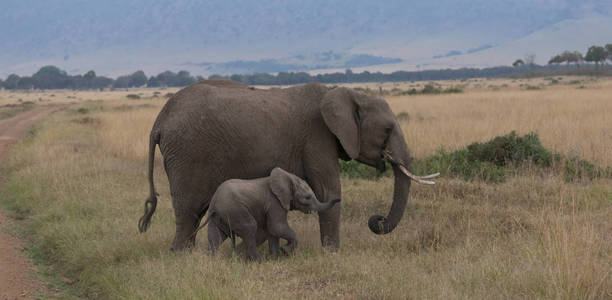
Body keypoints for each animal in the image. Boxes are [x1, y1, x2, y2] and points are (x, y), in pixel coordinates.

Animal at [138, 79, 436, 251]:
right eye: (387, 129)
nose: (377, 220)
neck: (346, 94)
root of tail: (159, 122)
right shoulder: (317, 137)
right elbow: (329, 191)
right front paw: (332, 254)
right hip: (187, 154)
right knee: (189, 210)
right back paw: (182, 255)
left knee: (194, 212)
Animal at [196, 168, 340, 262]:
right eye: (308, 197)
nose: (338, 199)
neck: (288, 178)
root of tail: (214, 201)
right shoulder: (275, 203)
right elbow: (277, 227)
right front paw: (285, 251)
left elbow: (272, 230)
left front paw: (275, 258)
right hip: (234, 209)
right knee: (250, 227)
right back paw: (258, 260)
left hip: (219, 215)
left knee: (216, 235)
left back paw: (212, 260)